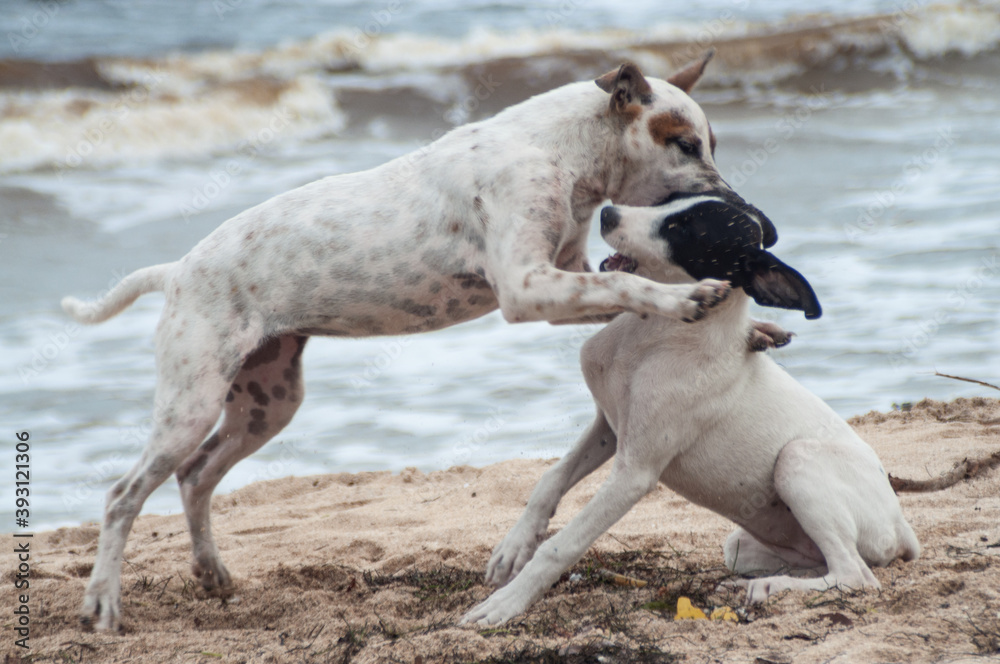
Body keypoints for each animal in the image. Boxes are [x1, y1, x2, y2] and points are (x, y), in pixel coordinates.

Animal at [64, 53, 796, 632]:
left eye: (710, 142)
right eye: (684, 144)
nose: (761, 219)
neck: (559, 153)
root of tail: (176, 271)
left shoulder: (563, 278)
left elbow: (617, 291)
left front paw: (754, 325)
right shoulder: (526, 288)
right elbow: (629, 286)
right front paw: (685, 300)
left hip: (266, 403)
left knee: (195, 476)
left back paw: (212, 573)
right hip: (192, 401)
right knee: (124, 494)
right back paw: (103, 604)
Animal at [464, 191, 916, 624]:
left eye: (684, 229)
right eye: (669, 201)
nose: (608, 214)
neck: (656, 337)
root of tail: (901, 527)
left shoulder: (634, 474)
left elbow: (561, 546)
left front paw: (507, 602)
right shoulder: (609, 427)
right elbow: (550, 479)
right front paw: (513, 548)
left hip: (797, 460)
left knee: (854, 575)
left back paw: (770, 587)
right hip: (743, 544)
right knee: (819, 564)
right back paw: (754, 584)